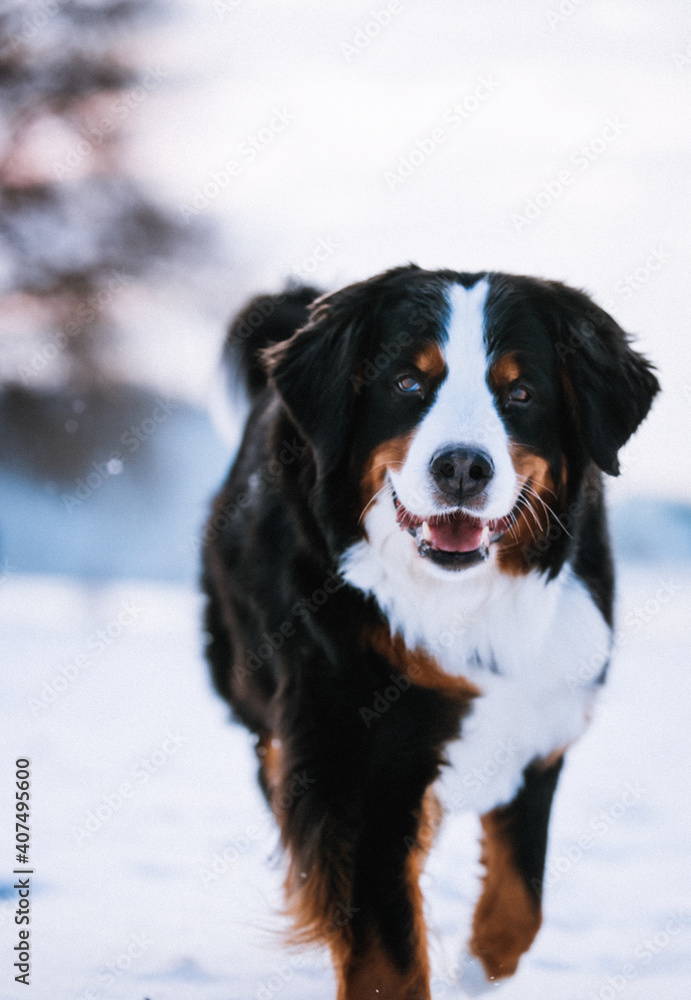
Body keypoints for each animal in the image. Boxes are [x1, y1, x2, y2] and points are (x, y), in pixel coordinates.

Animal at [201, 268, 660, 1000]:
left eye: (520, 392)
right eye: (408, 383)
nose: (463, 468)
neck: (467, 603)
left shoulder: (541, 720)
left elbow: (521, 897)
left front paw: (479, 965)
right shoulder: (355, 760)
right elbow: (384, 953)